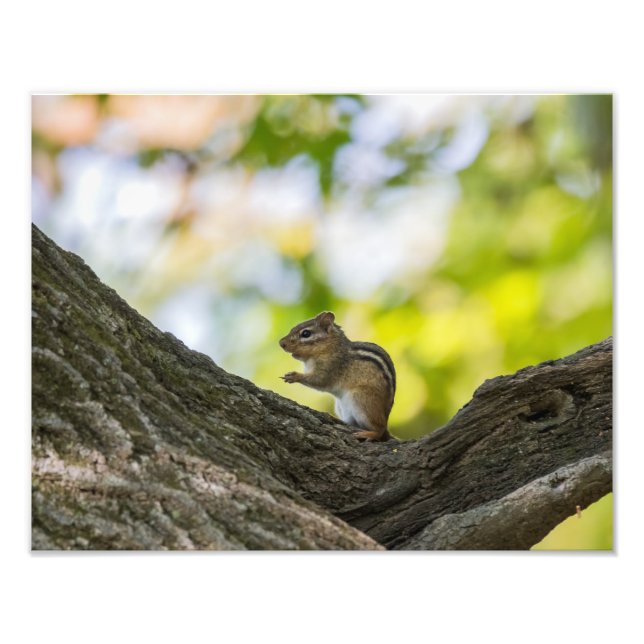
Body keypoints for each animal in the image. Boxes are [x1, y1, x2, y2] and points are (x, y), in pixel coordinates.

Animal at [279, 311, 396, 441]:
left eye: (306, 333)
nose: (281, 343)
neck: (331, 347)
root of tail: (386, 419)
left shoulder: (330, 367)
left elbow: (319, 380)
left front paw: (295, 376)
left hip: (361, 399)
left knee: (379, 430)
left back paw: (369, 434)